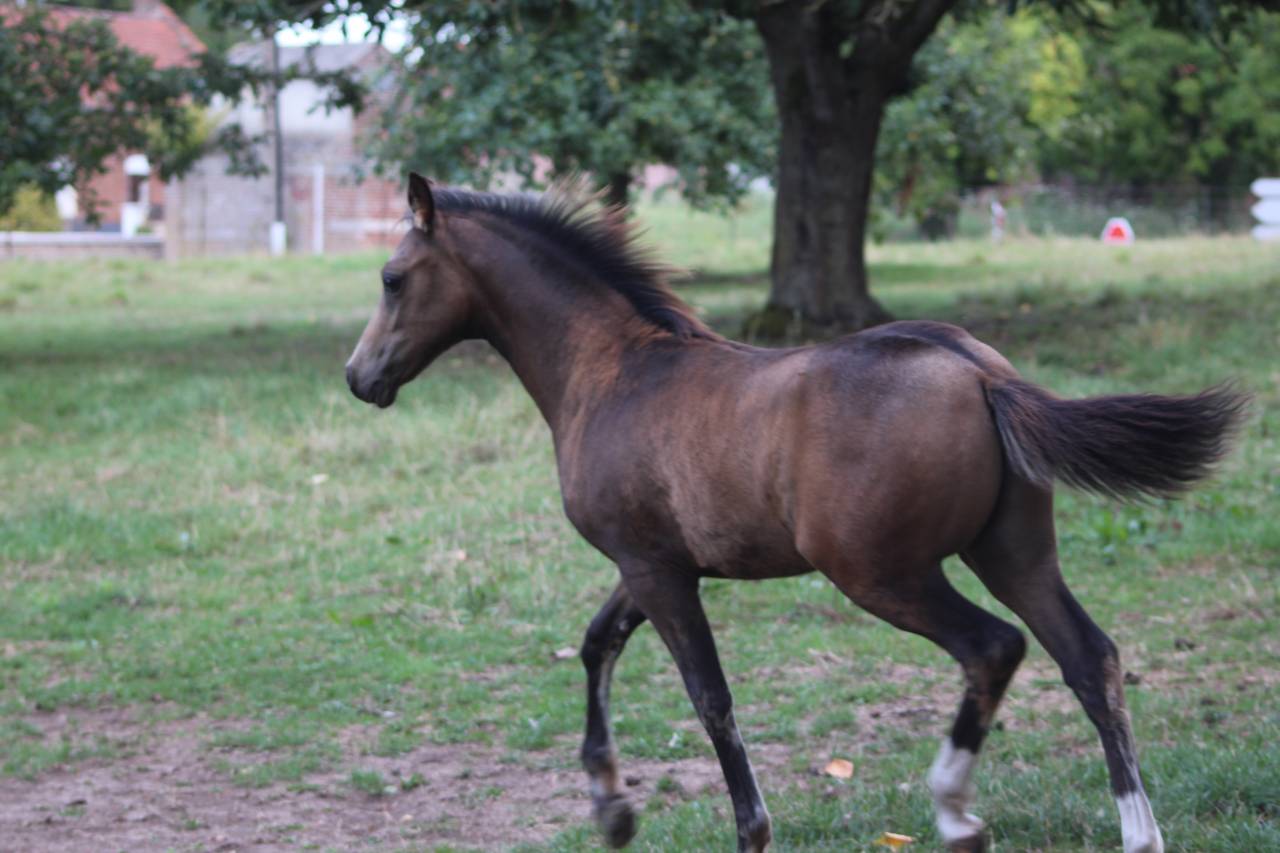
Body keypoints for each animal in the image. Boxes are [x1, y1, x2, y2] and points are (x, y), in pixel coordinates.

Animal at [345, 174, 1248, 853]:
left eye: (392, 278)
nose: (359, 377)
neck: (612, 370)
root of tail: (981, 371)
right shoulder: (655, 561)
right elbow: (599, 643)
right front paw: (612, 806)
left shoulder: (657, 571)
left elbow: (709, 697)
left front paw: (750, 830)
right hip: (1014, 552)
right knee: (1089, 657)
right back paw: (1138, 833)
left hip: (880, 572)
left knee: (995, 646)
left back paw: (956, 811)